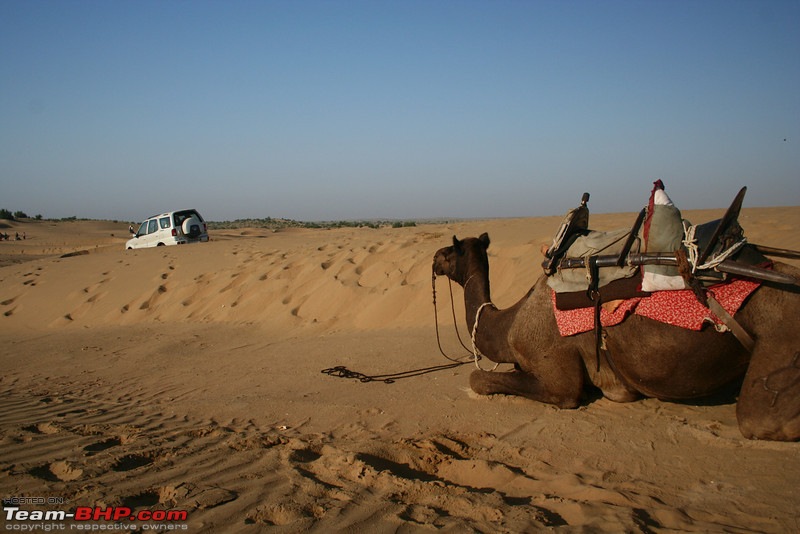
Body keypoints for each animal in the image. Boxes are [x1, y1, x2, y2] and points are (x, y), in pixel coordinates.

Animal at [434, 234, 800, 444]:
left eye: (448, 252)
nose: (434, 260)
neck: (509, 322)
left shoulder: (557, 375)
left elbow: (479, 378)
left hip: (782, 327)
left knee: (759, 419)